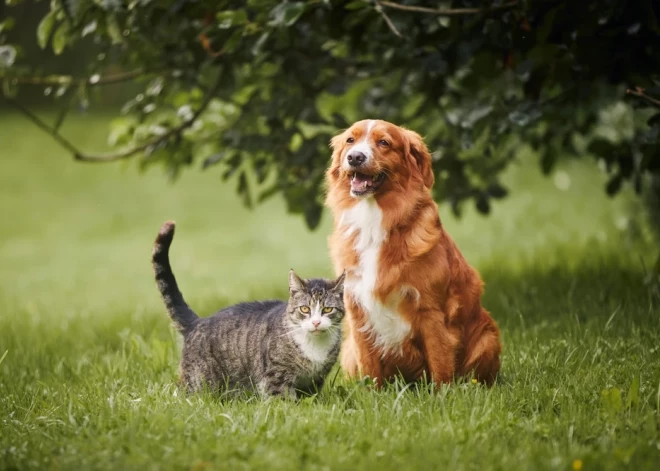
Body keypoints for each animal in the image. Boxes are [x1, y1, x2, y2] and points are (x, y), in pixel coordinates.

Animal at [150, 221, 346, 398]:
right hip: (199, 381)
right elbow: (282, 400)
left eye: (327, 309)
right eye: (305, 309)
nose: (316, 322)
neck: (315, 347)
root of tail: (197, 322)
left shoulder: (315, 379)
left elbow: (310, 397)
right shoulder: (275, 376)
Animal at [324, 120, 500, 390]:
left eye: (384, 142)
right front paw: (373, 395)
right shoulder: (357, 309)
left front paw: (443, 395)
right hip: (348, 350)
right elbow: (369, 366)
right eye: (350, 141)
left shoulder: (430, 310)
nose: (355, 157)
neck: (374, 219)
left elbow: (439, 362)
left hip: (488, 337)